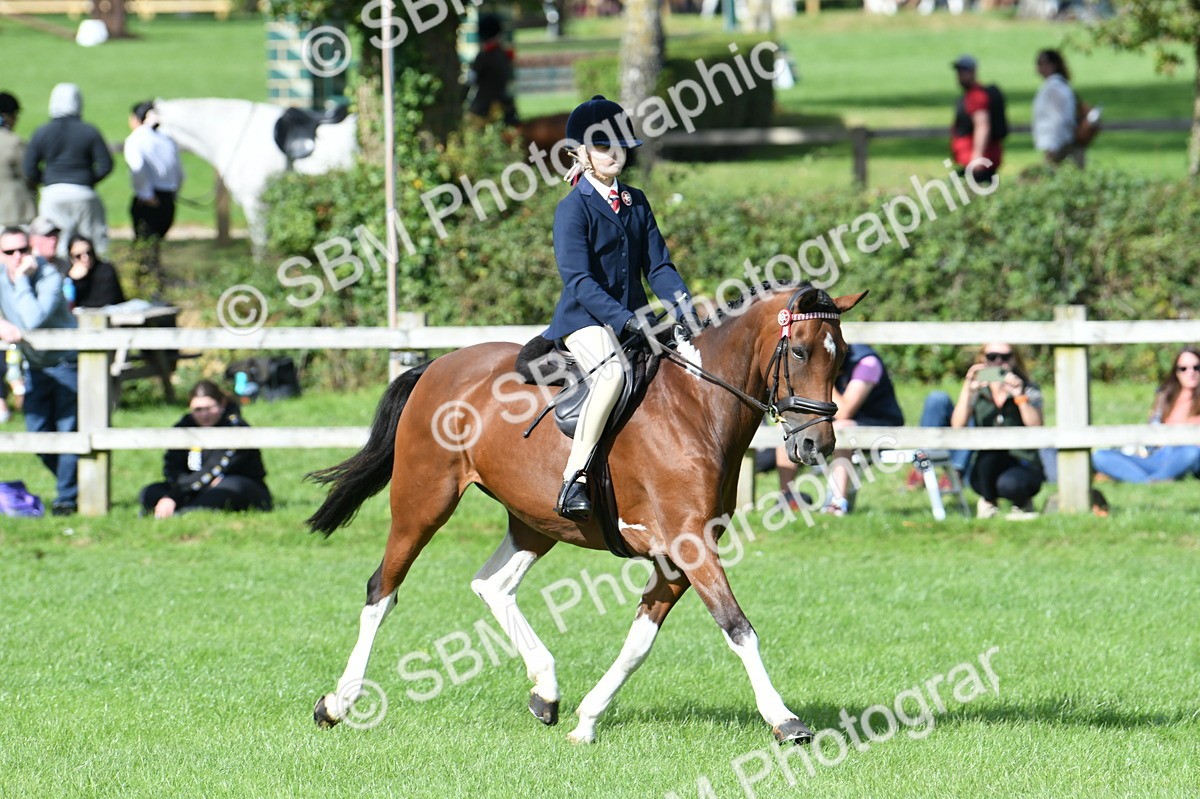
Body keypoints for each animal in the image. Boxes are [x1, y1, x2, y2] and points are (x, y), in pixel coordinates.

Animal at [308, 283, 867, 744]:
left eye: (841, 358)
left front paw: (588, 720)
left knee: (492, 585)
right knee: (382, 590)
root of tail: (439, 366)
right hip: (423, 503)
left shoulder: (676, 558)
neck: (696, 405)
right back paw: (338, 704)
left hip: (534, 522)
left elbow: (640, 642)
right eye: (800, 351)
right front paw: (785, 720)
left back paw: (546, 691)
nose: (818, 445)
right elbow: (738, 627)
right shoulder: (690, 545)